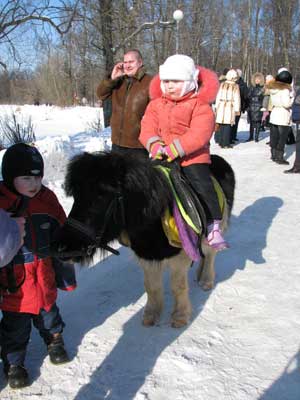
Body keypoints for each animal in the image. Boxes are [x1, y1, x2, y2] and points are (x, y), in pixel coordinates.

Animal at [54, 152, 236, 328]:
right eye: (76, 197)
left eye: (101, 197)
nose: (62, 247)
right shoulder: (147, 257)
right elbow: (151, 287)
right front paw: (151, 315)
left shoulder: (179, 257)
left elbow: (178, 286)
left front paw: (180, 317)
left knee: (210, 254)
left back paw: (206, 280)